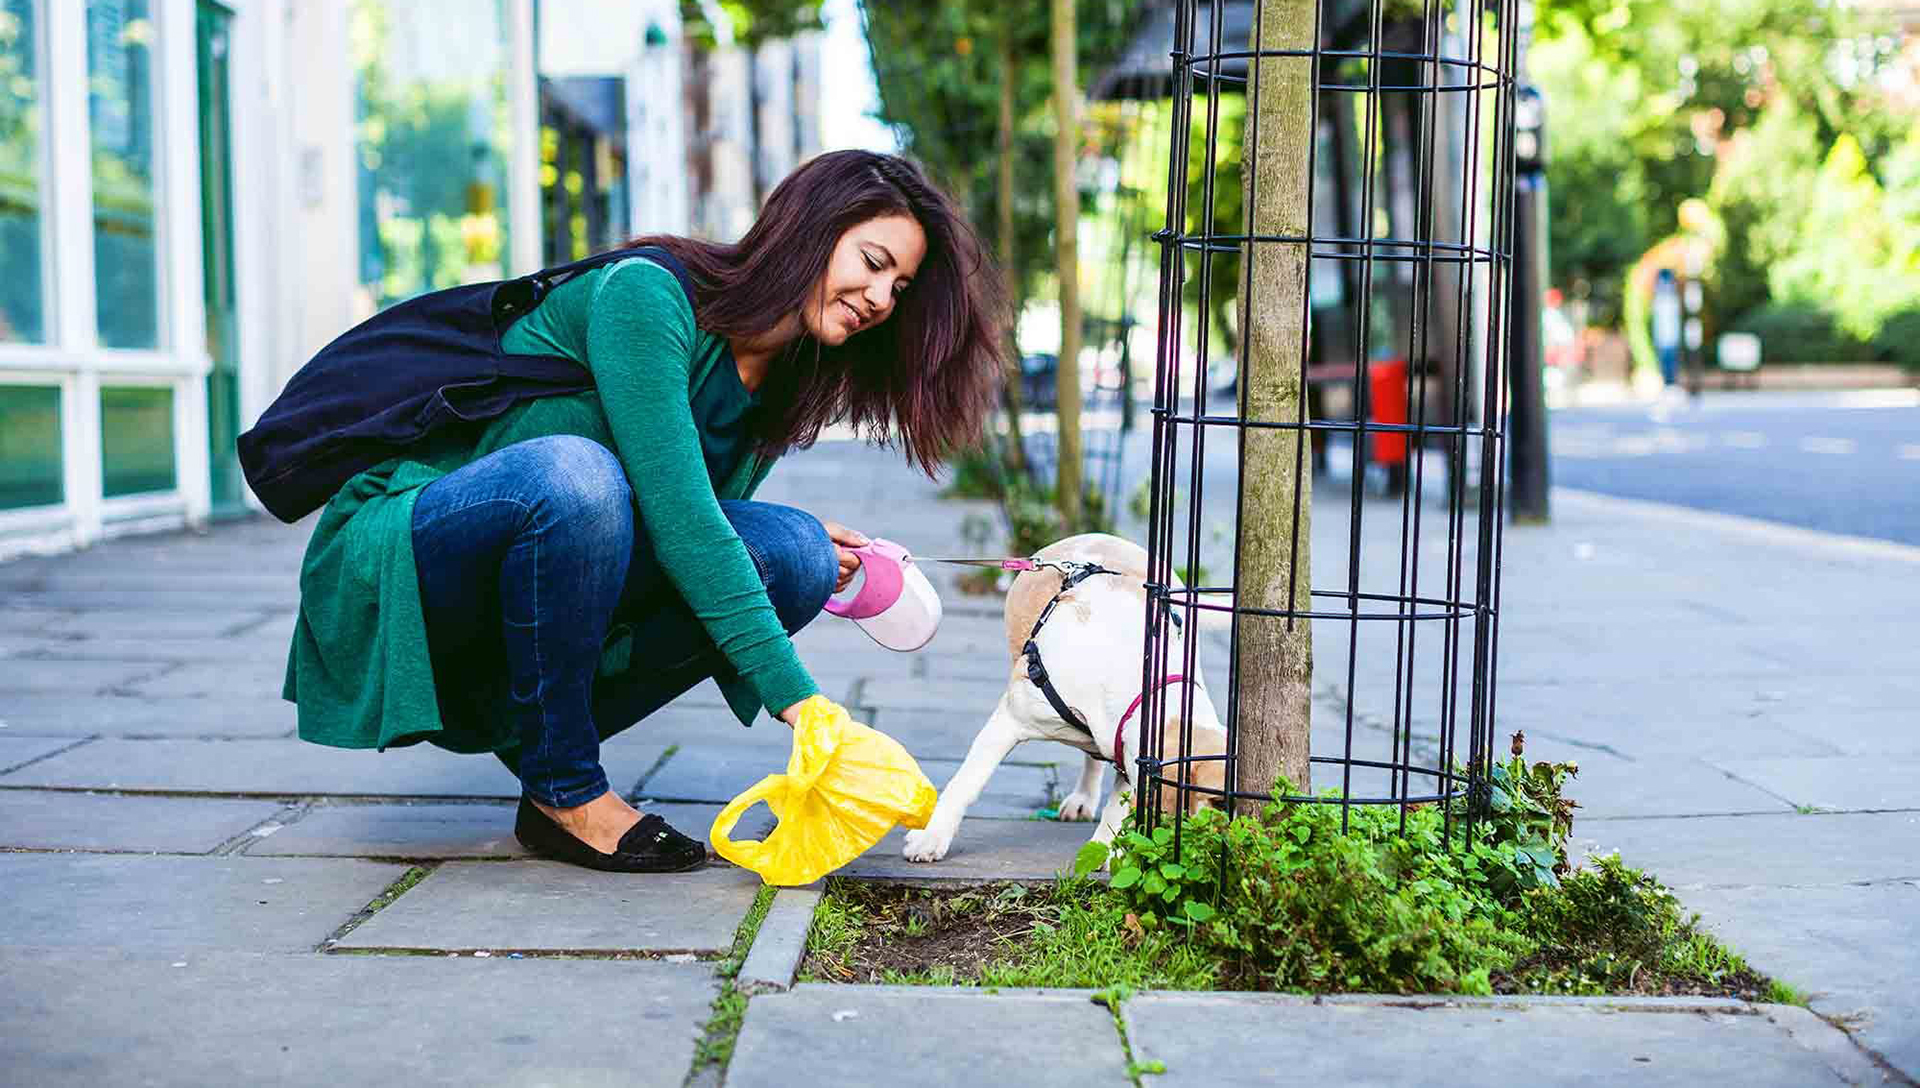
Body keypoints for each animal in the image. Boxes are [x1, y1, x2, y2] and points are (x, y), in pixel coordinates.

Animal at [902, 533, 1228, 863]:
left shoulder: (1124, 746)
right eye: (1219, 803)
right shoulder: (1008, 721)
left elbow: (1118, 805)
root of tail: (1101, 537)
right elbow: (965, 784)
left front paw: (1108, 850)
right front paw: (931, 838)